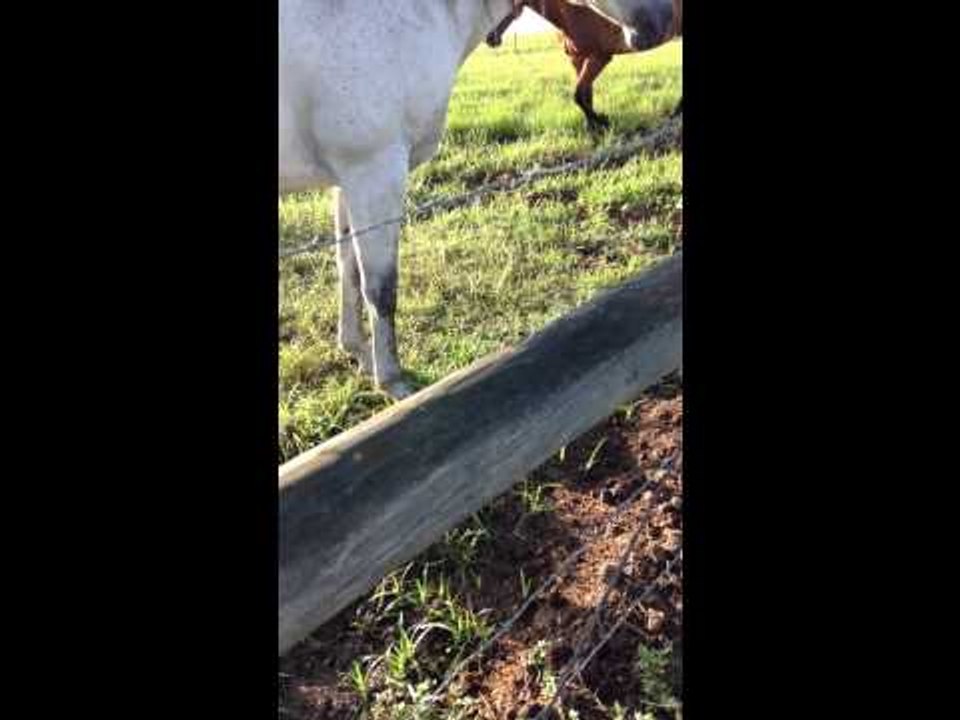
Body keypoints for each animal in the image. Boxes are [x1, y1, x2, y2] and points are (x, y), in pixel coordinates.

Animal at [487, 0, 681, 130]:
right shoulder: (577, 59)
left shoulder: (599, 57)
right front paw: (593, 126)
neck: (572, 12)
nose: (490, 38)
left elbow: (578, 94)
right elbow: (585, 95)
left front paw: (602, 121)